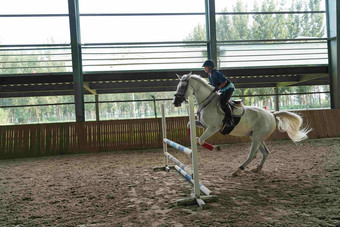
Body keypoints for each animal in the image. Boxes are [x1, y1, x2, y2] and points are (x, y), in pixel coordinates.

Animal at [173, 73, 310, 176]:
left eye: (183, 86)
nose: (175, 102)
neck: (207, 102)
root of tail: (272, 114)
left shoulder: (212, 128)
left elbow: (200, 140)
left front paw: (215, 148)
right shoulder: (203, 125)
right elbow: (189, 124)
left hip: (256, 137)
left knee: (253, 154)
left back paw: (238, 170)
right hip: (257, 136)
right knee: (265, 152)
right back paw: (258, 168)